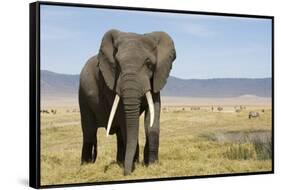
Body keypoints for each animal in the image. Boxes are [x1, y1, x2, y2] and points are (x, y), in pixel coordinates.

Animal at [79, 28, 175, 175]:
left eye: (149, 64)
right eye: (117, 65)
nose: (127, 173)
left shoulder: (156, 79)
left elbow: (152, 118)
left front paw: (152, 165)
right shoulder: (111, 83)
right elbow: (124, 120)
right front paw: (134, 165)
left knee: (117, 133)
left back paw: (119, 162)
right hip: (83, 96)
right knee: (89, 132)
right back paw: (86, 165)